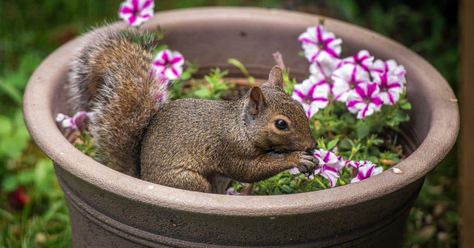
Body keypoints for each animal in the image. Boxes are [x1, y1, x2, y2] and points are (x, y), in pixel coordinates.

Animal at [66, 30, 318, 194]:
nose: (312, 145)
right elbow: (249, 171)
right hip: (189, 181)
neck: (241, 127)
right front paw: (297, 158)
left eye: (300, 106)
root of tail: (143, 177)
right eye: (281, 124)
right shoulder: (230, 149)